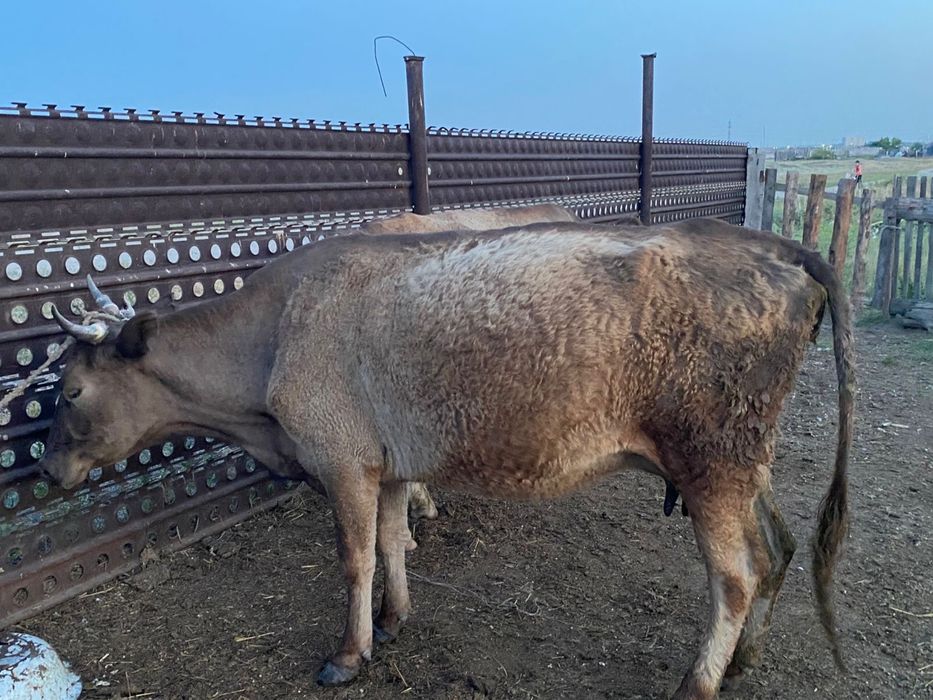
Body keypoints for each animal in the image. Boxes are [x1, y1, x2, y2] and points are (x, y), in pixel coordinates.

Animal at [38, 218, 853, 700]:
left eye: (72, 389)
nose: (46, 470)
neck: (274, 335)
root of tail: (774, 246)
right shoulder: (391, 461)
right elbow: (393, 542)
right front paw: (394, 617)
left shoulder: (341, 461)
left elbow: (355, 558)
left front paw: (349, 653)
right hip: (740, 461)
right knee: (775, 548)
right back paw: (743, 659)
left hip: (710, 461)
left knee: (735, 577)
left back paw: (698, 681)